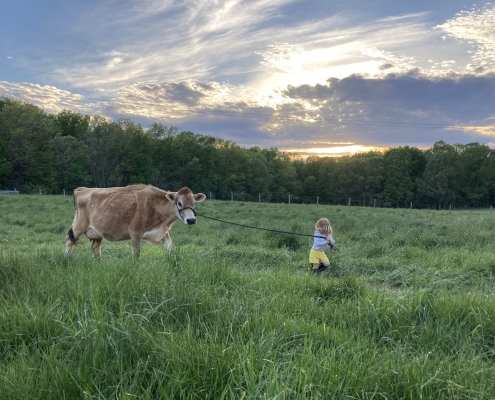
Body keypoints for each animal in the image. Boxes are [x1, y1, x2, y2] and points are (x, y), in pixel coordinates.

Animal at [65, 185, 205, 260]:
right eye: (179, 203)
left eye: (194, 203)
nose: (191, 220)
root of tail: (83, 189)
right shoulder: (135, 233)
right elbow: (136, 254)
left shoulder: (163, 232)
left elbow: (171, 249)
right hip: (78, 226)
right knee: (69, 242)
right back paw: (65, 258)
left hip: (97, 232)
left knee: (95, 248)